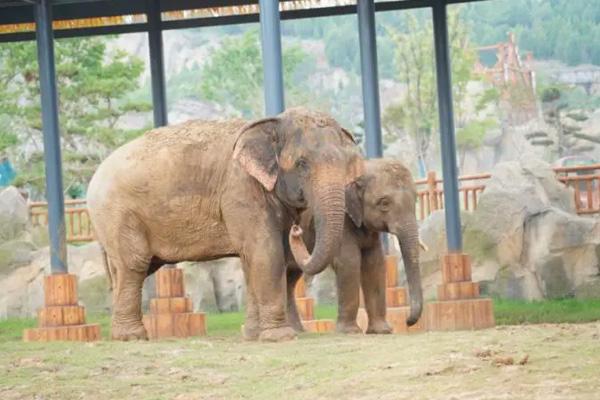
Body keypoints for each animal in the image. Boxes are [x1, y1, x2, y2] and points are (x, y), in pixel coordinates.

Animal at [86, 108, 364, 342]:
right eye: (302, 164)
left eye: (344, 164)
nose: (297, 230)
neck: (273, 122)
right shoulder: (240, 189)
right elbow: (266, 251)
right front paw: (279, 337)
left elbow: (254, 258)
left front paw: (253, 336)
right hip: (118, 214)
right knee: (134, 264)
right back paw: (132, 337)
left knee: (125, 269)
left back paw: (121, 334)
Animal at [288, 159, 422, 334]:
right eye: (384, 203)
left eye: (416, 199)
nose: (407, 321)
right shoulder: (343, 221)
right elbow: (349, 262)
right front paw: (350, 331)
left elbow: (375, 263)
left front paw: (382, 331)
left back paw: (297, 331)